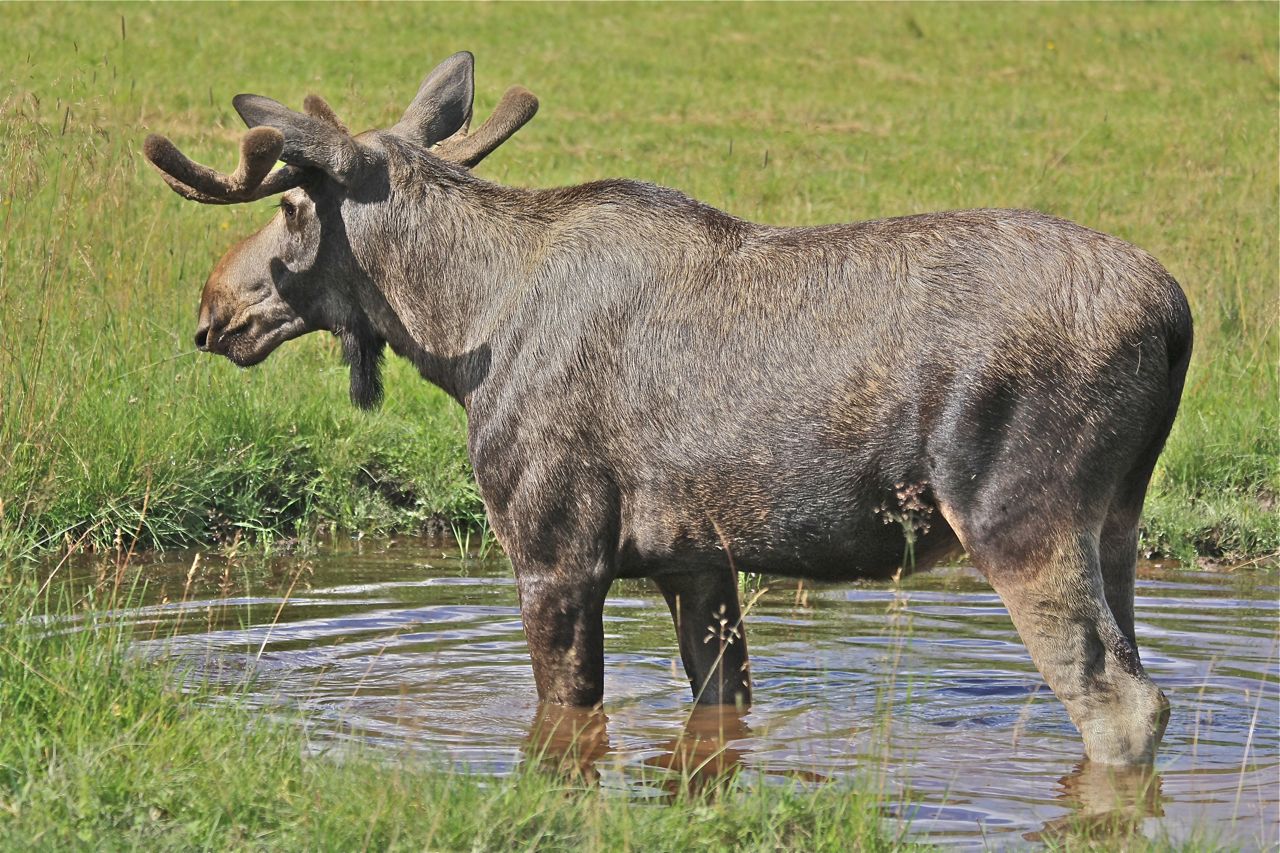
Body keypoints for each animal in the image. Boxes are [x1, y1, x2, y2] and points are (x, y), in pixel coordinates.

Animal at [147, 53, 1187, 763]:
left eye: (289, 209)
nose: (211, 307)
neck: (462, 329)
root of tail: (1177, 317)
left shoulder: (556, 548)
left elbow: (565, 720)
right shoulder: (697, 561)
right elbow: (718, 713)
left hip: (1018, 516)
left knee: (1122, 706)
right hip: (1117, 525)